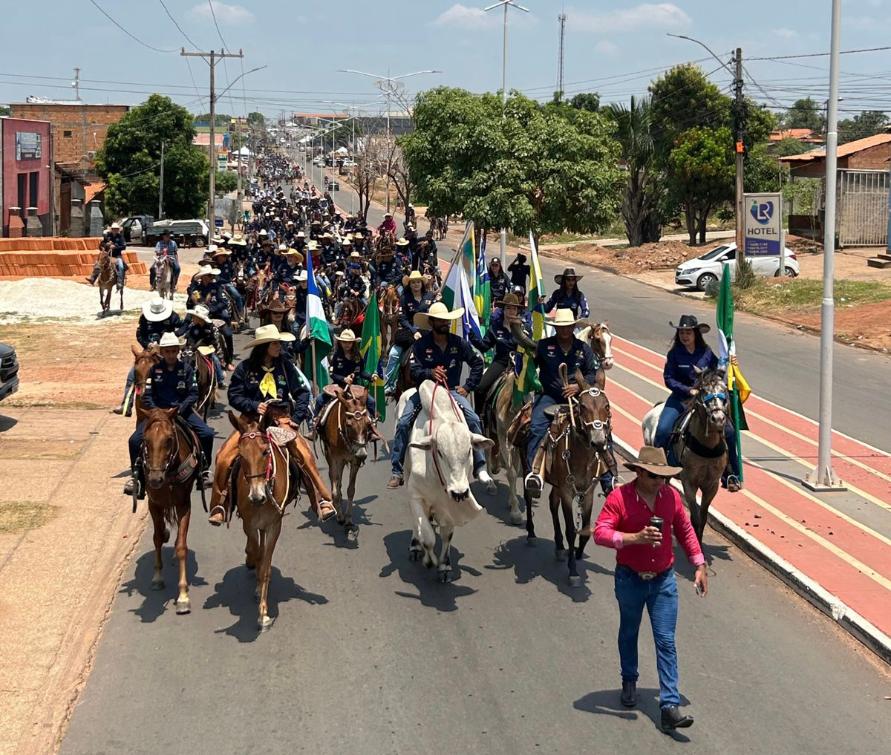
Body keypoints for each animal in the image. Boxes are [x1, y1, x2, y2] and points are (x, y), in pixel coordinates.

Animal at [139, 408, 199, 616]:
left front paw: (183, 596)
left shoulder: (184, 505)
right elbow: (157, 538)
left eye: (169, 439)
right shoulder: (154, 503)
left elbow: (181, 546)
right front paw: (157, 578)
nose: (155, 479)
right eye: (145, 440)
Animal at [318, 386, 374, 536]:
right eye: (349, 425)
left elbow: (351, 490)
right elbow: (335, 489)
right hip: (332, 457)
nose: (362, 454)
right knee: (333, 478)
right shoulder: (335, 458)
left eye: (368, 424)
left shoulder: (354, 461)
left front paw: (348, 519)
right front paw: (340, 516)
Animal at [398, 380, 494, 580]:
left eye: (469, 451)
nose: (460, 492)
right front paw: (429, 560)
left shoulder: (449, 504)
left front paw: (444, 565)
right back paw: (415, 545)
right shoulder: (416, 495)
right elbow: (427, 536)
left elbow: (446, 535)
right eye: (440, 452)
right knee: (417, 523)